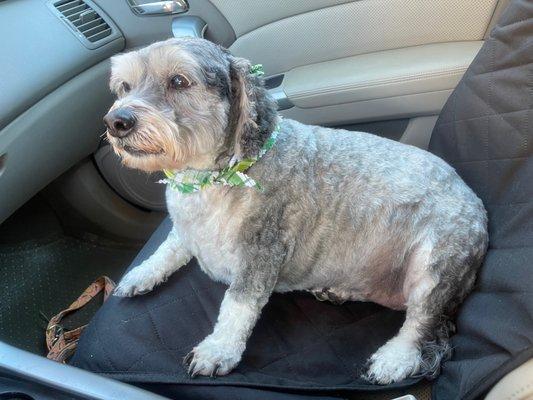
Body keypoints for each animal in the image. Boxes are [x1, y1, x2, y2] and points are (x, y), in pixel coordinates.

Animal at [103, 37, 486, 384]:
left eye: (179, 81)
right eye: (124, 86)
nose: (116, 121)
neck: (217, 177)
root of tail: (476, 203)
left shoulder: (262, 253)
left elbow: (238, 306)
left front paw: (218, 348)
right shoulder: (185, 230)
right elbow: (168, 250)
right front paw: (142, 273)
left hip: (435, 263)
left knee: (419, 321)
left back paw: (395, 358)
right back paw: (339, 291)